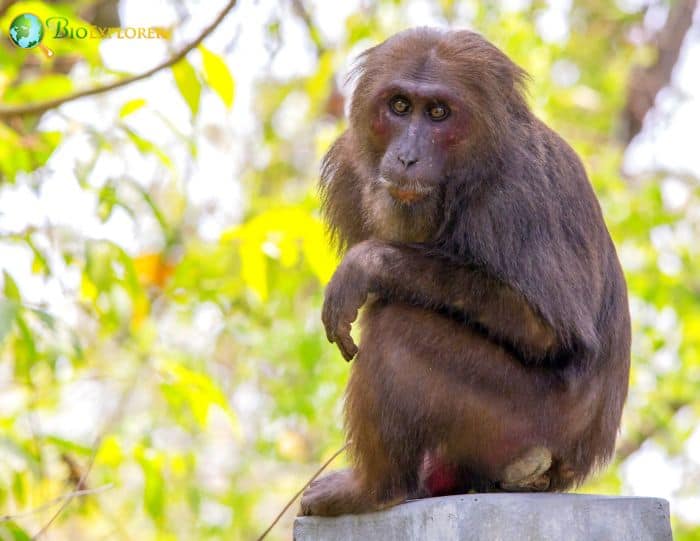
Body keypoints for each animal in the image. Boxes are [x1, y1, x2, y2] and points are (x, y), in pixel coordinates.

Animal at [299, 27, 631, 517]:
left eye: (438, 113)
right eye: (400, 106)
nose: (407, 156)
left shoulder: (515, 196)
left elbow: (550, 332)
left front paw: (370, 264)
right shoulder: (348, 173)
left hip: (524, 427)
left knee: (398, 330)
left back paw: (375, 488)